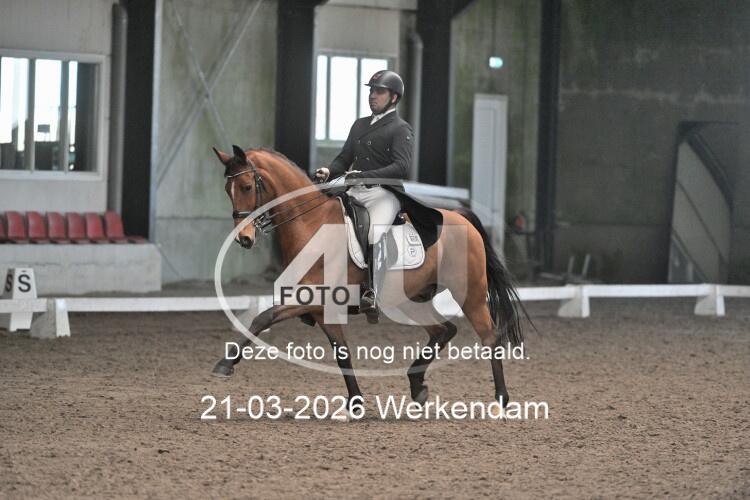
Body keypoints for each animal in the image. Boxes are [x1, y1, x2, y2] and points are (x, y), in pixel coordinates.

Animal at [211, 145, 525, 412]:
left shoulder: (313, 297)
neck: (311, 224)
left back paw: (500, 398)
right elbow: (342, 353)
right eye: (227, 190)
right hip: (409, 300)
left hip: (470, 295)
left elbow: (262, 318)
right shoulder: (321, 309)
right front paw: (356, 402)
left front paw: (224, 365)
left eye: (247, 186)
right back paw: (417, 386)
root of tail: (461, 217)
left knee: (489, 337)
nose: (243, 238)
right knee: (443, 330)